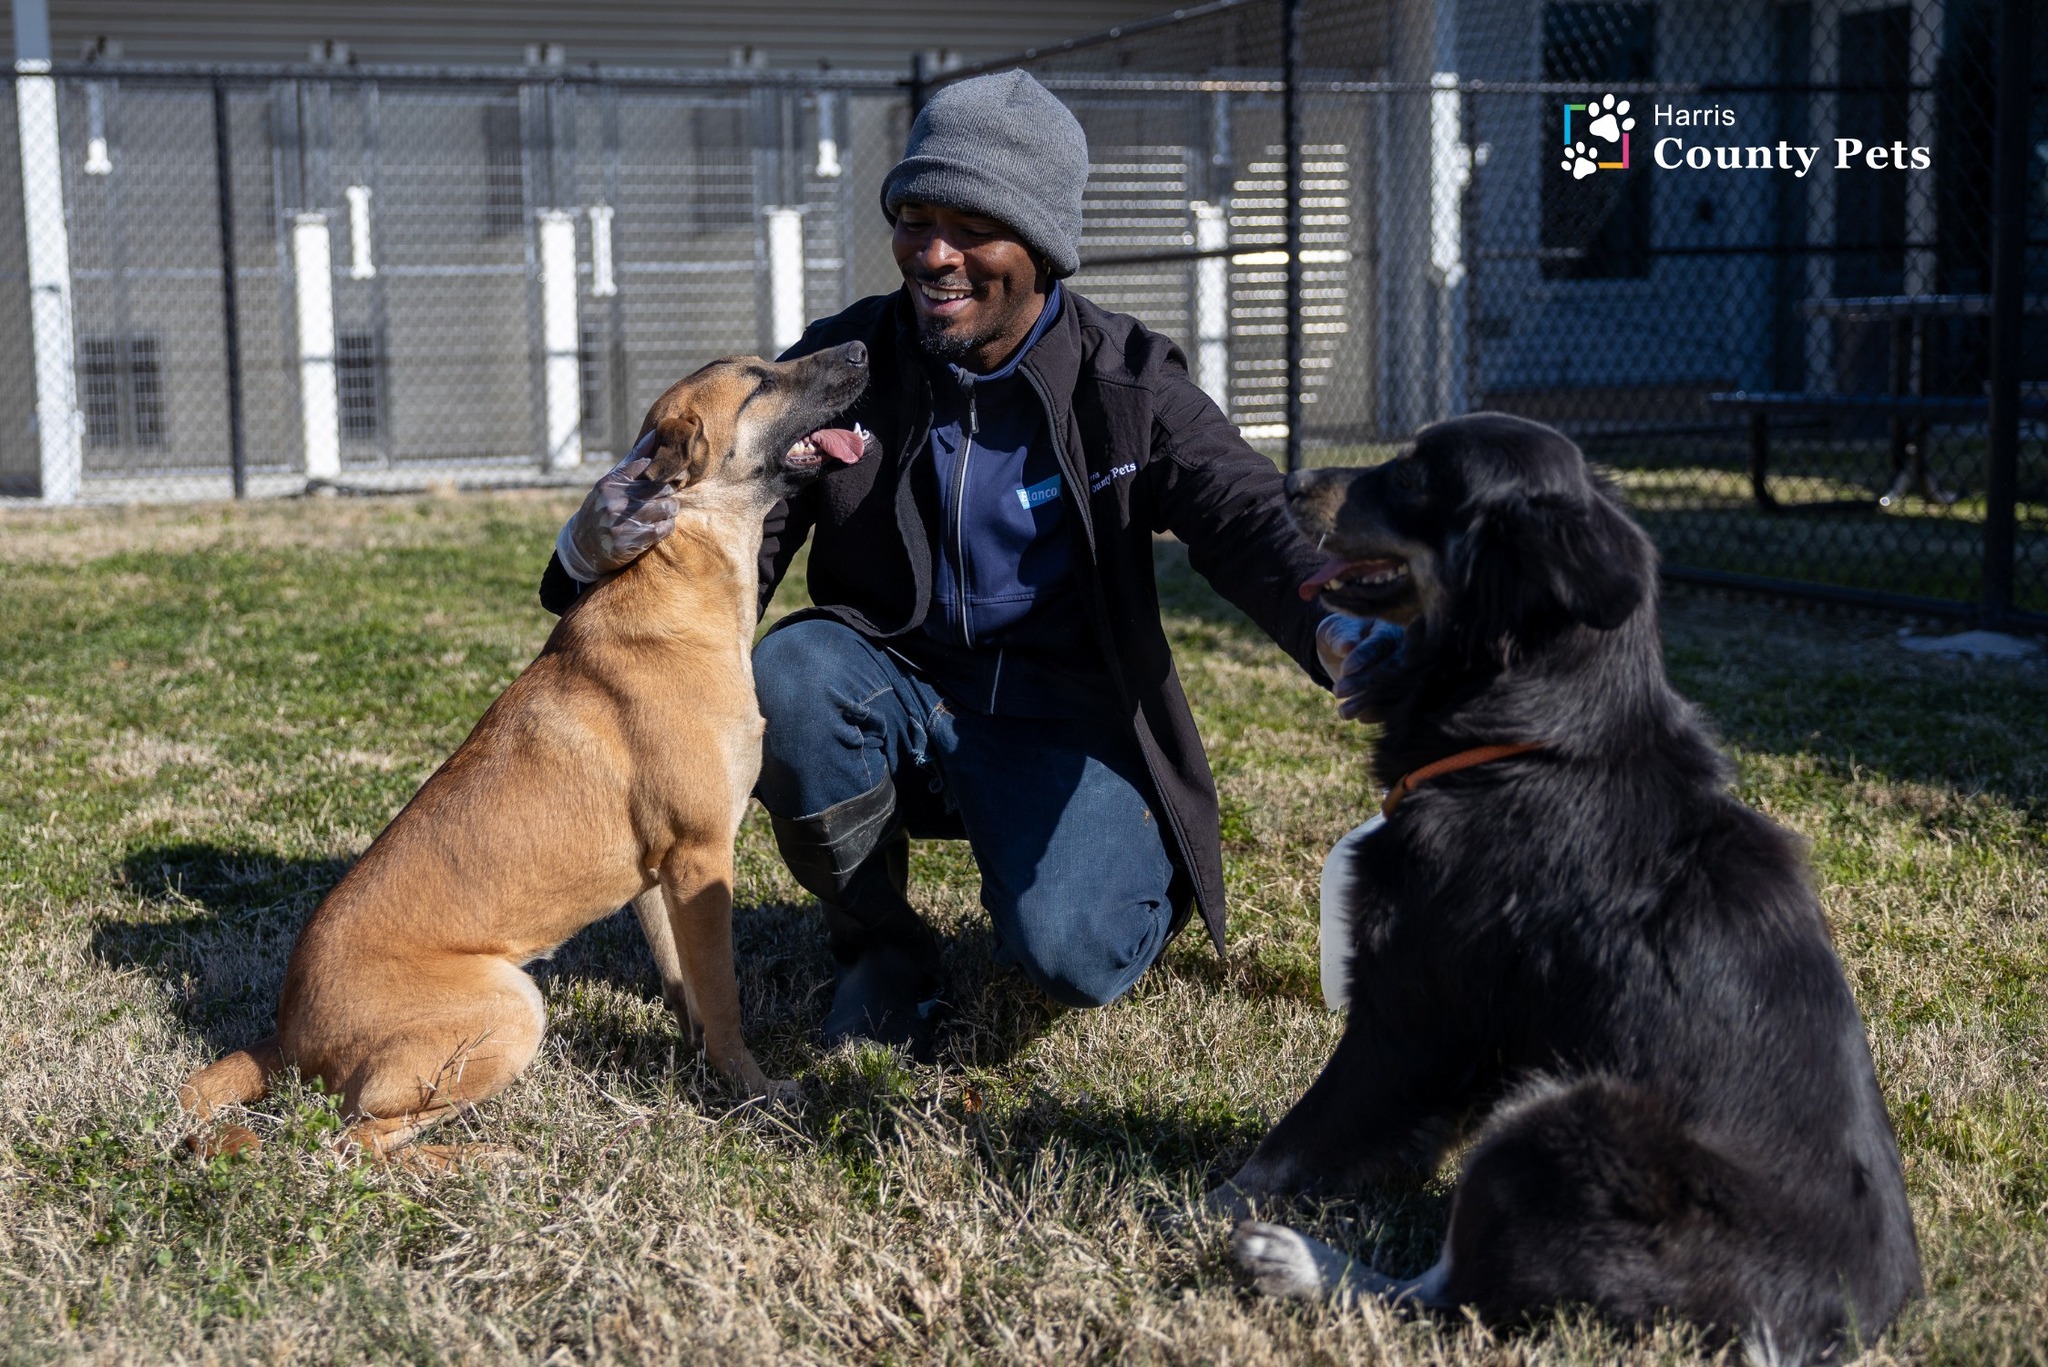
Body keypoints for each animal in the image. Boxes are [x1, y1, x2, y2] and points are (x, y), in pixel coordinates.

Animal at [178, 342, 872, 1155]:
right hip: (512, 1004)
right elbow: (725, 999)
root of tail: (285, 1038)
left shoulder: (661, 878)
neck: (682, 569)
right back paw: (467, 1158)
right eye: (761, 381)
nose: (859, 348)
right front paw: (754, 1092)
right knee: (354, 1140)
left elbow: (688, 990)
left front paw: (700, 1071)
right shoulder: (703, 856)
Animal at [1220, 413, 1925, 1360]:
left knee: (1444, 1303)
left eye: (1413, 474)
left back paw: (1289, 1260)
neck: (1535, 737)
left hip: (1563, 1116)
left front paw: (1194, 1206)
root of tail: (1828, 1329)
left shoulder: (1413, 1012)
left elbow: (1292, 1141)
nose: (1288, 481)